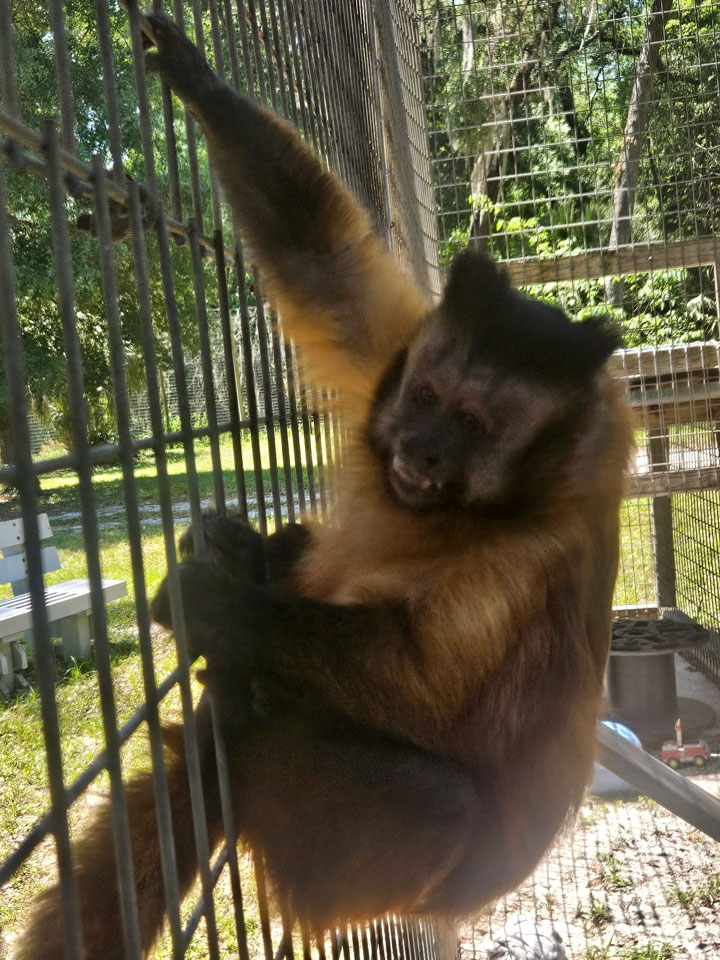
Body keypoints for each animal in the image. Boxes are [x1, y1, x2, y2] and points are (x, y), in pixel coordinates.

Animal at [16, 11, 632, 960]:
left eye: (473, 425)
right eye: (427, 397)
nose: (419, 449)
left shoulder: (537, 554)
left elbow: (420, 690)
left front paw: (221, 605)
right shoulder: (404, 349)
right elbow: (324, 268)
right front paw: (198, 82)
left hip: (355, 864)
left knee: (434, 799)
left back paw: (238, 704)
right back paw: (248, 570)